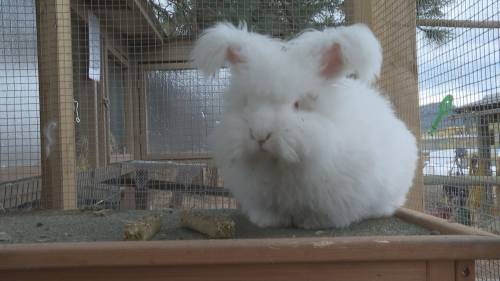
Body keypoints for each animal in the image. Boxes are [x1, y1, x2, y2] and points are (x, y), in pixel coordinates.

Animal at [191, 21, 418, 228]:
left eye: (297, 104)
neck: (279, 165)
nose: (260, 135)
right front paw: (268, 221)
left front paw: (310, 223)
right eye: (247, 103)